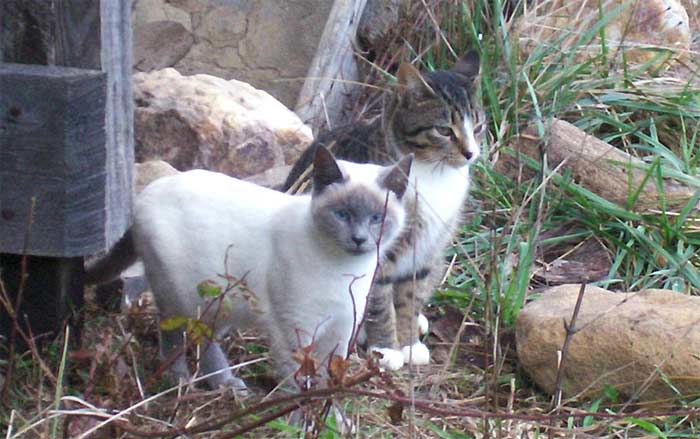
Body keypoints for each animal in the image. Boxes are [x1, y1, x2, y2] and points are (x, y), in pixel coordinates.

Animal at [89, 148, 416, 392]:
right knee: (172, 332)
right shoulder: (296, 331)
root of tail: (148, 192)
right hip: (181, 296)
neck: (345, 271)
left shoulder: (341, 329)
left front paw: (334, 424)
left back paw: (226, 384)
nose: (359, 239)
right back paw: (179, 379)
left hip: (221, 302)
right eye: (342, 215)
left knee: (204, 338)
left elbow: (327, 383)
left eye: (377, 218)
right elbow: (299, 386)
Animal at [282, 49, 484, 370]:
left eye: (478, 127)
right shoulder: (378, 250)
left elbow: (410, 298)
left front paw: (409, 342)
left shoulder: (426, 251)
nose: (470, 153)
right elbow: (380, 302)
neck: (434, 175)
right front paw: (387, 348)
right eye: (444, 130)